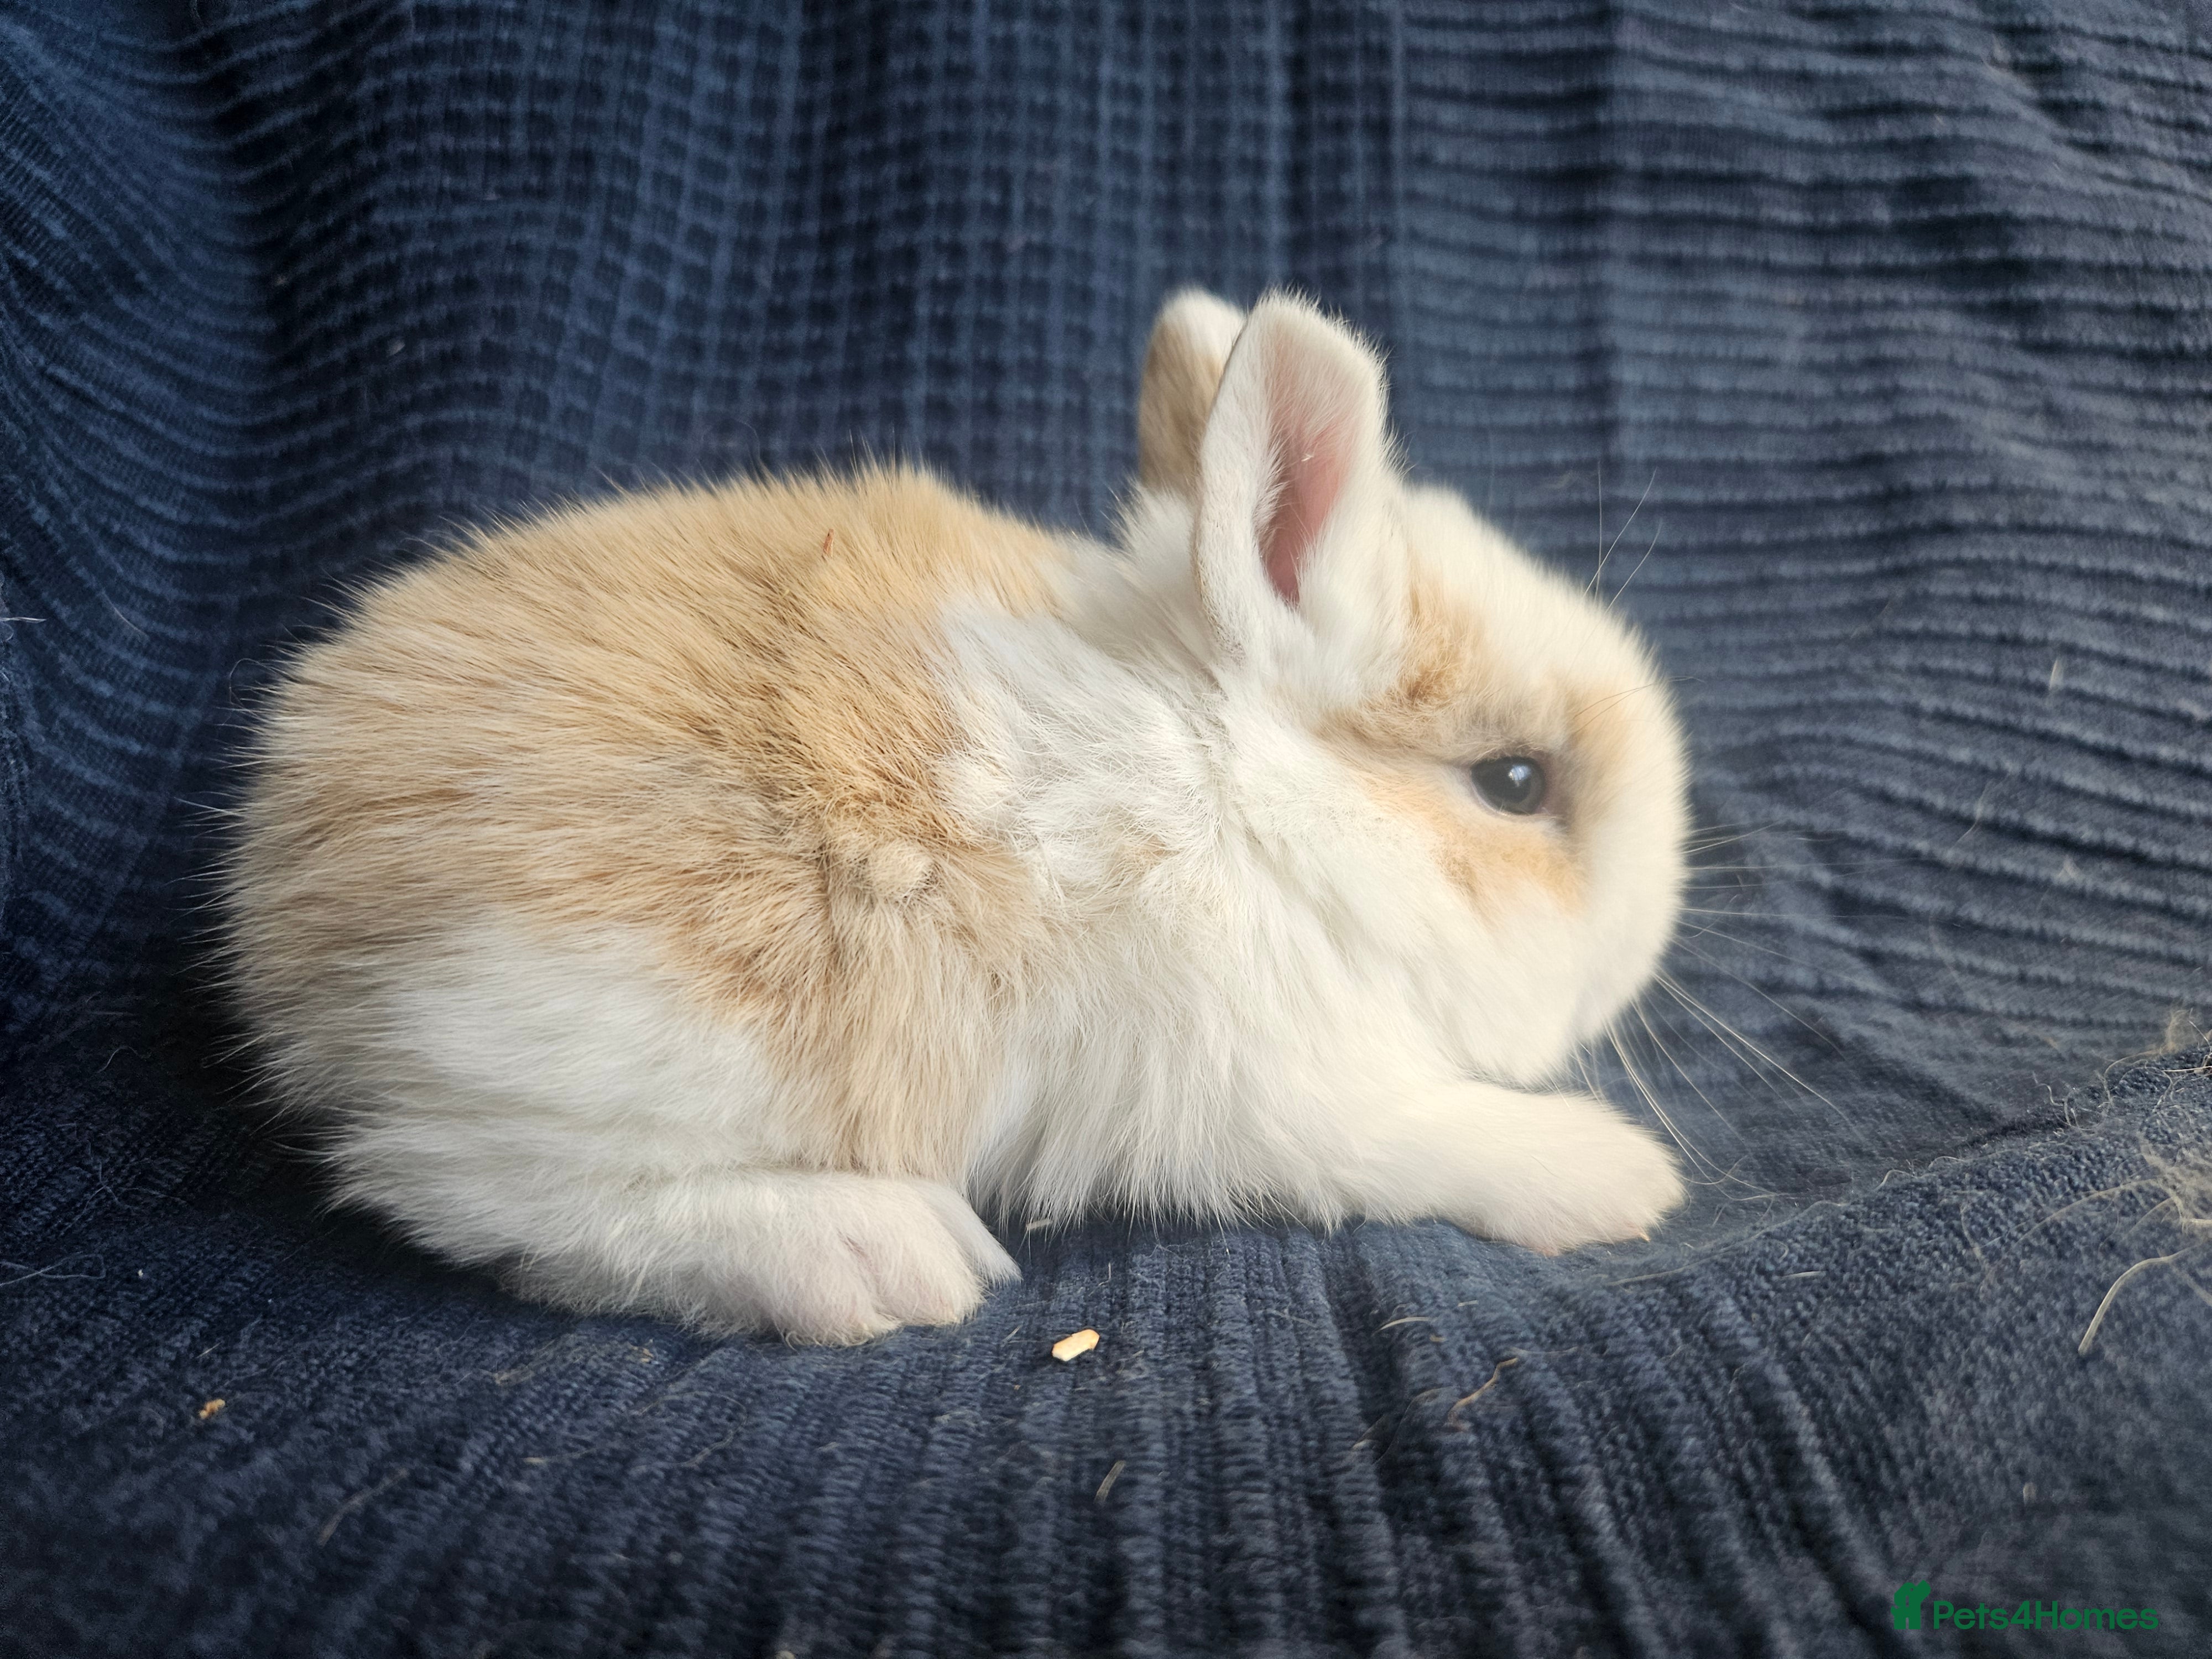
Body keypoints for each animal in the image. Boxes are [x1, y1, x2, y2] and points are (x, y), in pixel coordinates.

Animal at [224, 289, 1691, 1344]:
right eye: (1517, 783)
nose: (1643, 942)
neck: (1244, 793)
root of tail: (285, 898)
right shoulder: (1282, 1089)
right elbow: (1417, 1134)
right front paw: (1618, 1177)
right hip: (611, 1026)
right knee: (464, 1187)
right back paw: (876, 1257)